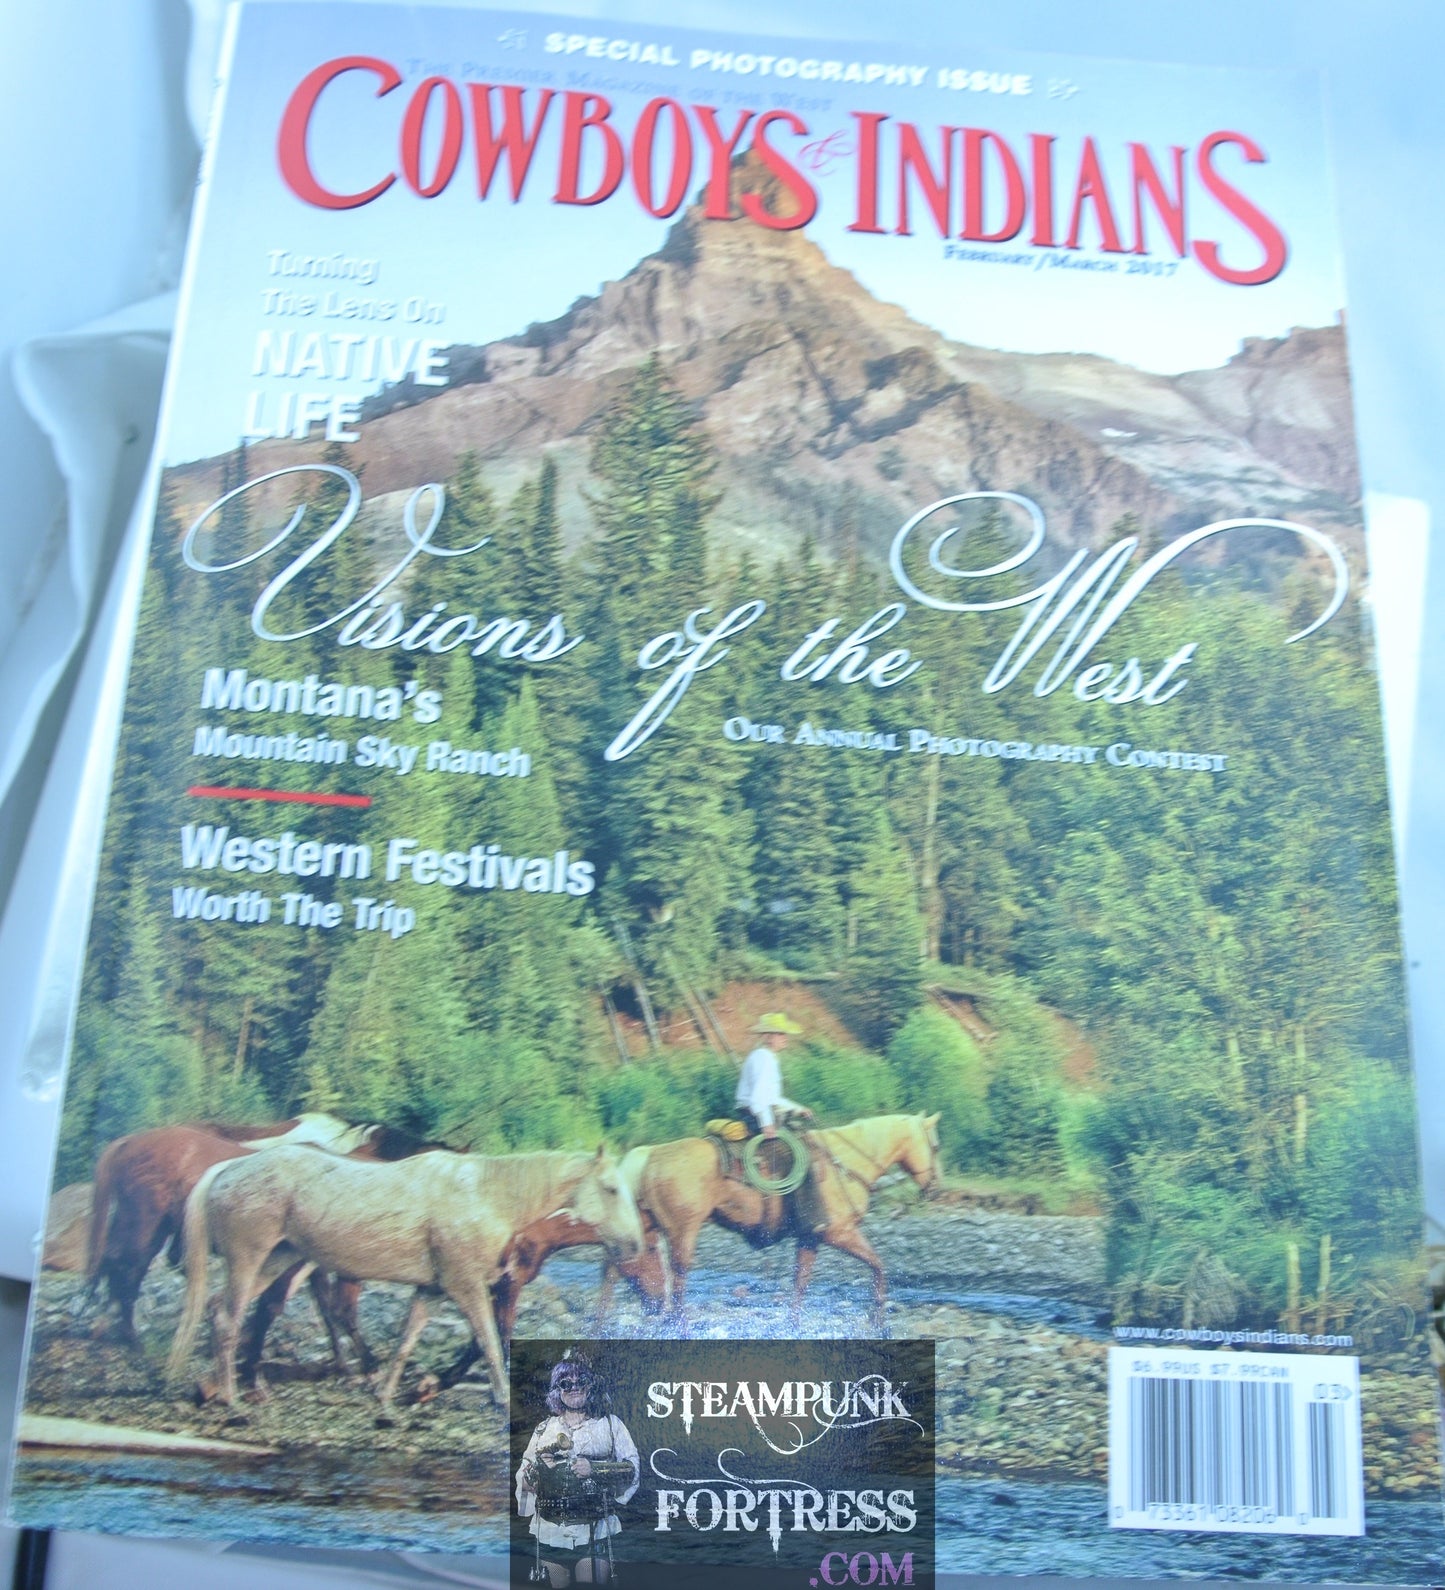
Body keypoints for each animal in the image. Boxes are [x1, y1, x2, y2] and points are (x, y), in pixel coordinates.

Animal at [166, 1144, 645, 1408]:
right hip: (249, 1257)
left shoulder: (430, 1290)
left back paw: (219, 1387)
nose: (635, 1243)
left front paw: (386, 1397)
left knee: (221, 1311)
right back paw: (232, 1398)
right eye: (611, 1189)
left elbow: (405, 1341)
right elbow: (491, 1343)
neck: (485, 1194)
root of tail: (226, 1169)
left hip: (278, 1259)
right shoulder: (466, 1286)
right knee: (229, 1319)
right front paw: (499, 1397)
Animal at [614, 1112, 941, 1333]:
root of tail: (653, 1156)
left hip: (654, 1228)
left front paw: (793, 1324)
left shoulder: (810, 1238)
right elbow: (878, 1265)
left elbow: (800, 1283)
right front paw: (878, 1319)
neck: (845, 1163)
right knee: (677, 1278)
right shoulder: (839, 1233)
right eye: (936, 1146)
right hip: (684, 1231)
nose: (935, 1189)